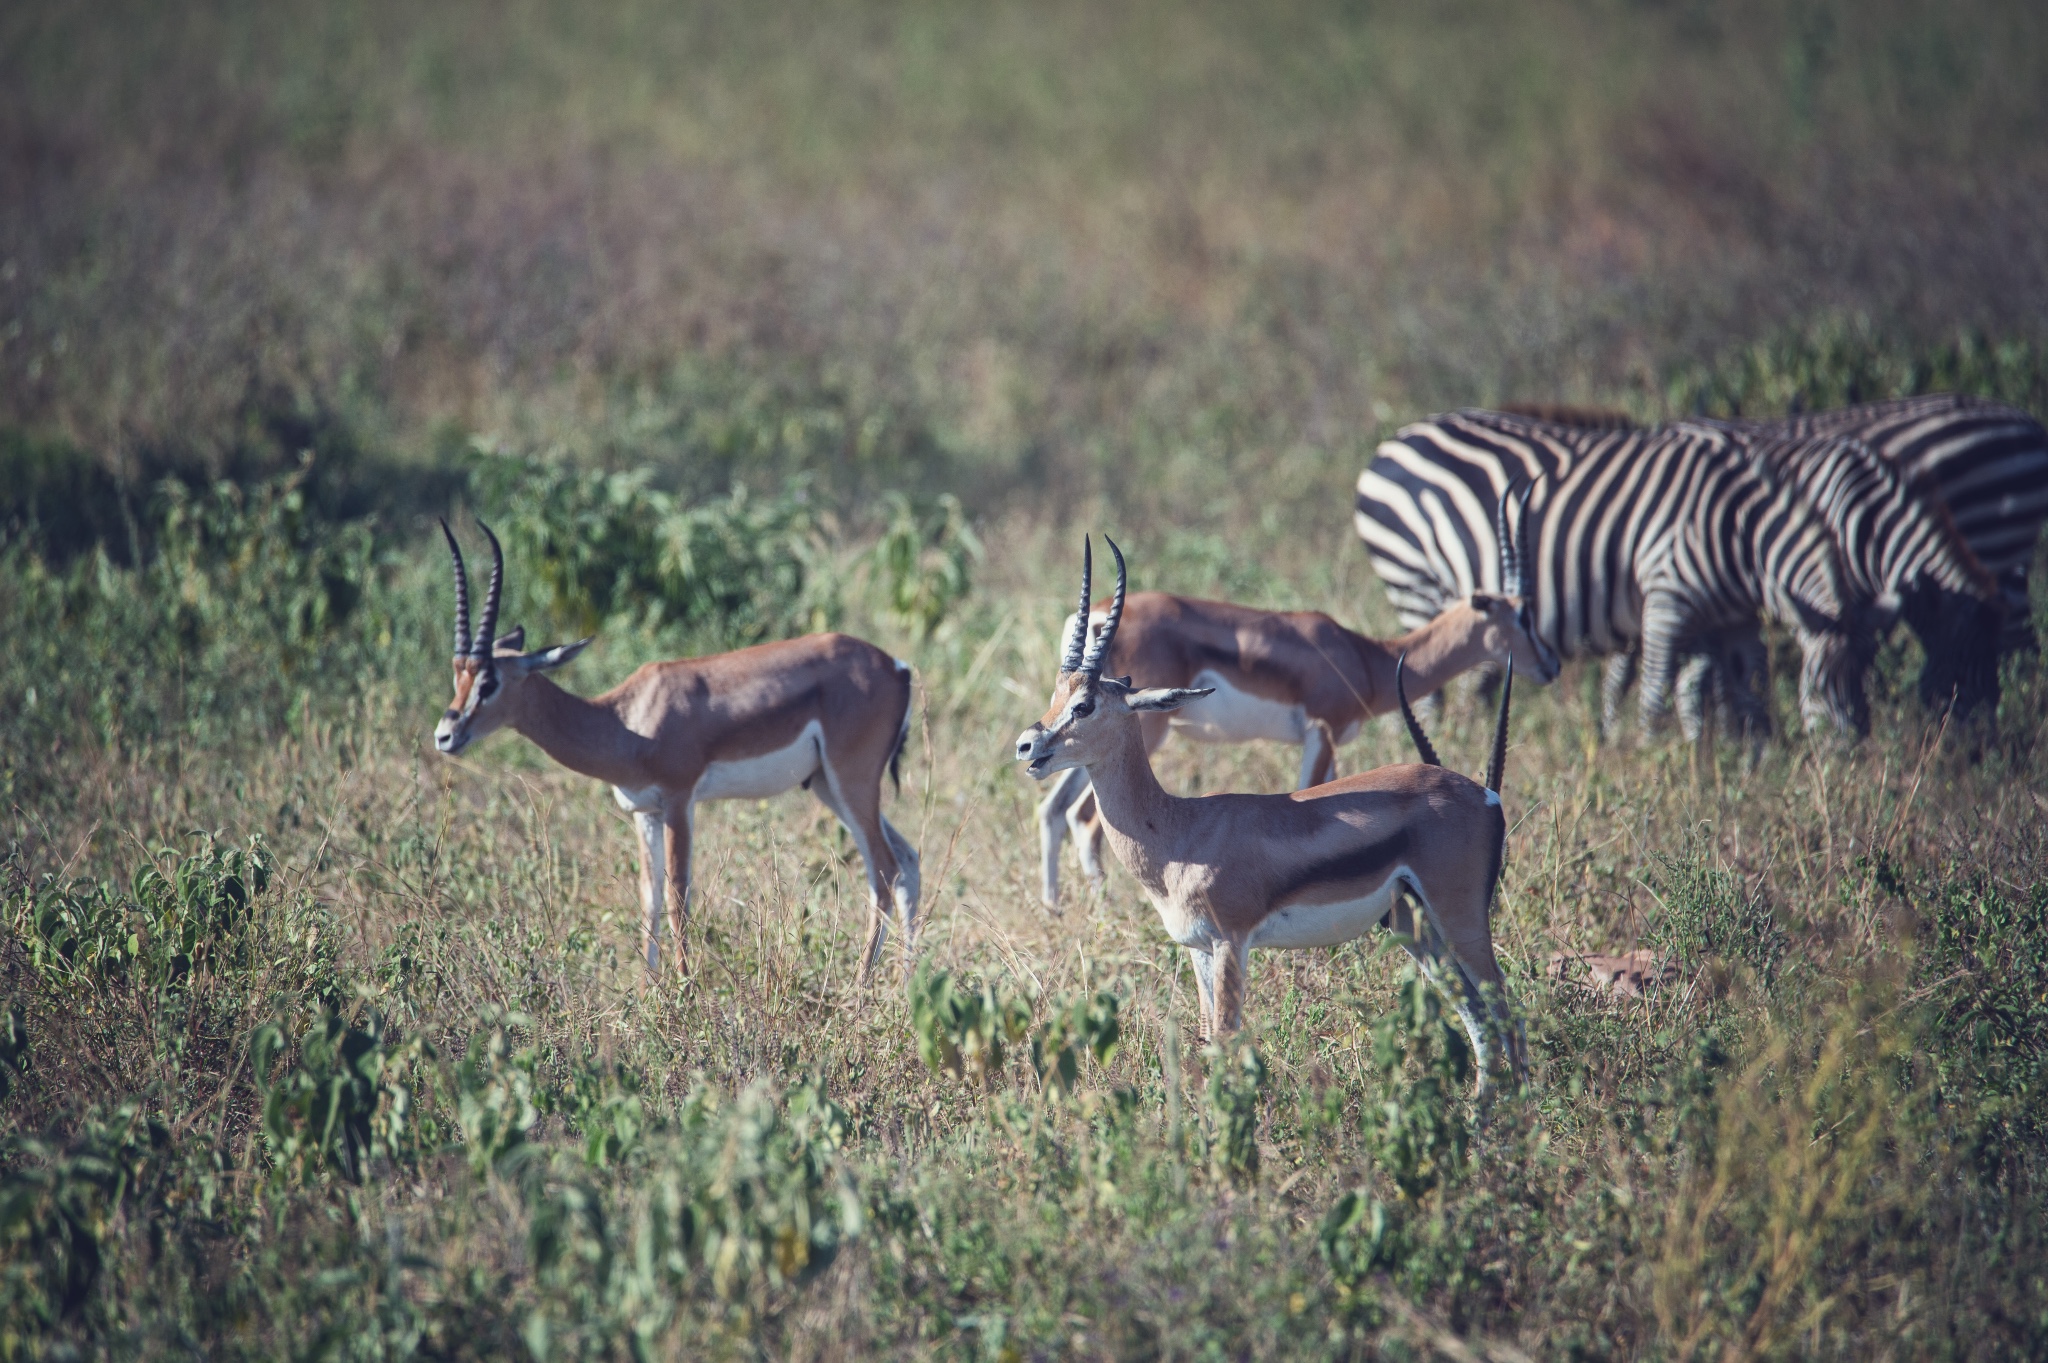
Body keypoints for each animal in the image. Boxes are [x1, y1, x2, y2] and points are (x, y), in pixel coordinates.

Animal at [1359, 409, 1875, 736]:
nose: (1857, 753)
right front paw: (1657, 759)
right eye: (1832, 679)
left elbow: (1738, 688)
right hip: (1414, 583)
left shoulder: (1727, 619)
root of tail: (1389, 445)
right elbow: (1655, 693)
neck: (1738, 529)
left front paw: (1745, 761)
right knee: (1426, 692)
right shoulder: (1668, 598)